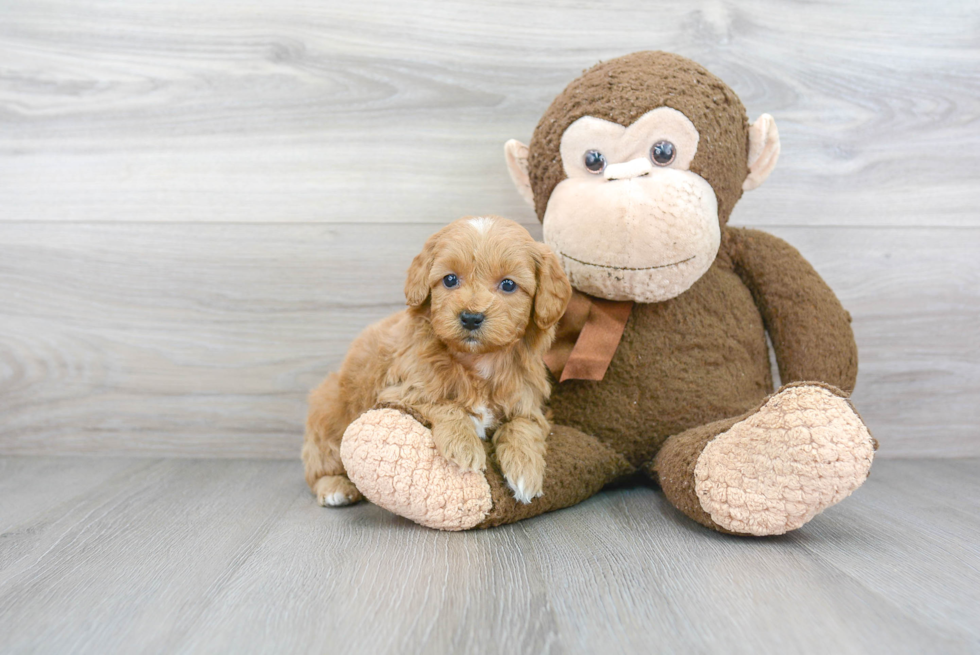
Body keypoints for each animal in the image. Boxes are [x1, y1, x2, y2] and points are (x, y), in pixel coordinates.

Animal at [302, 215, 572, 508]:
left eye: (509, 284)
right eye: (450, 280)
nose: (471, 317)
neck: (478, 360)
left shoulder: (530, 402)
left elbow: (523, 425)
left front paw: (525, 470)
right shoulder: (400, 391)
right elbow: (443, 403)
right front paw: (463, 445)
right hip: (329, 410)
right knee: (320, 464)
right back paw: (335, 487)